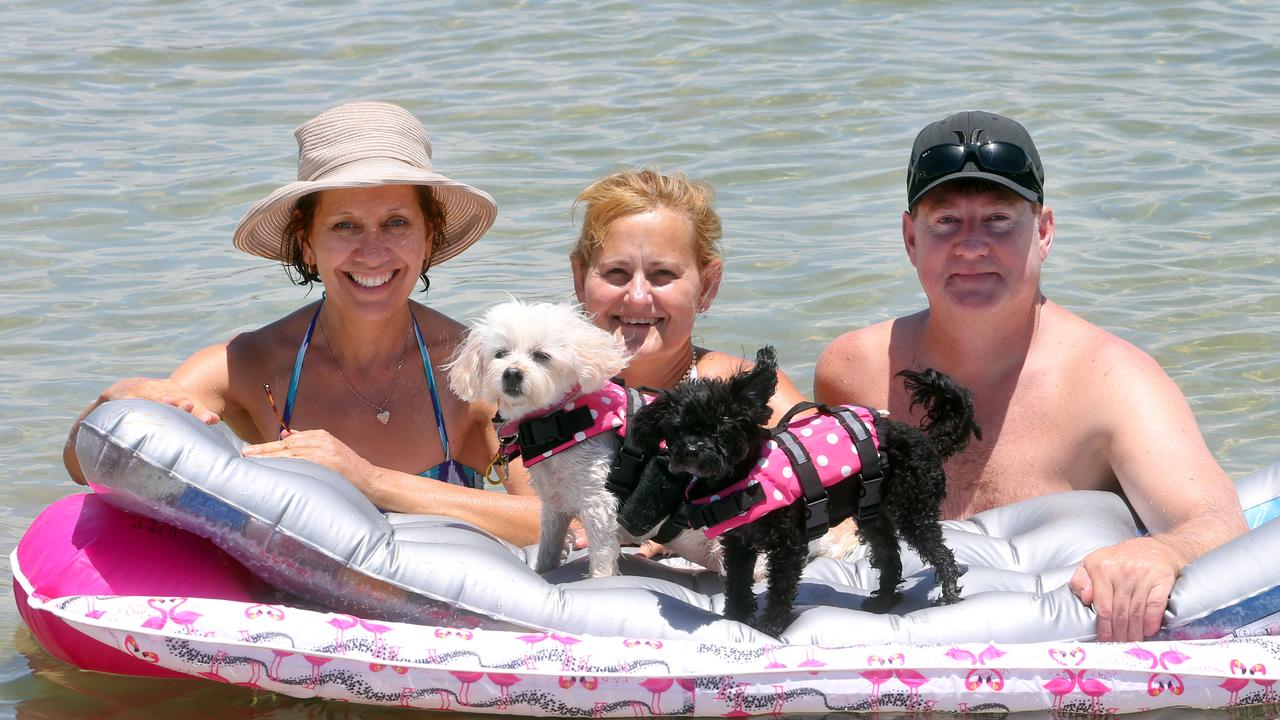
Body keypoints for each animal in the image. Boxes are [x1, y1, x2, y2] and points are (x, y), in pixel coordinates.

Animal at [622, 348, 977, 632]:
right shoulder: (739, 544)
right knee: (891, 558)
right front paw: (736, 619)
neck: (744, 476)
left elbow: (780, 588)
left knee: (942, 554)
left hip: (914, 510)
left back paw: (948, 596)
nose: (692, 450)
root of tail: (927, 441)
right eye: (676, 428)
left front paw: (769, 626)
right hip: (873, 517)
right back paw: (883, 602)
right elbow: (737, 584)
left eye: (722, 426)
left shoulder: (789, 546)